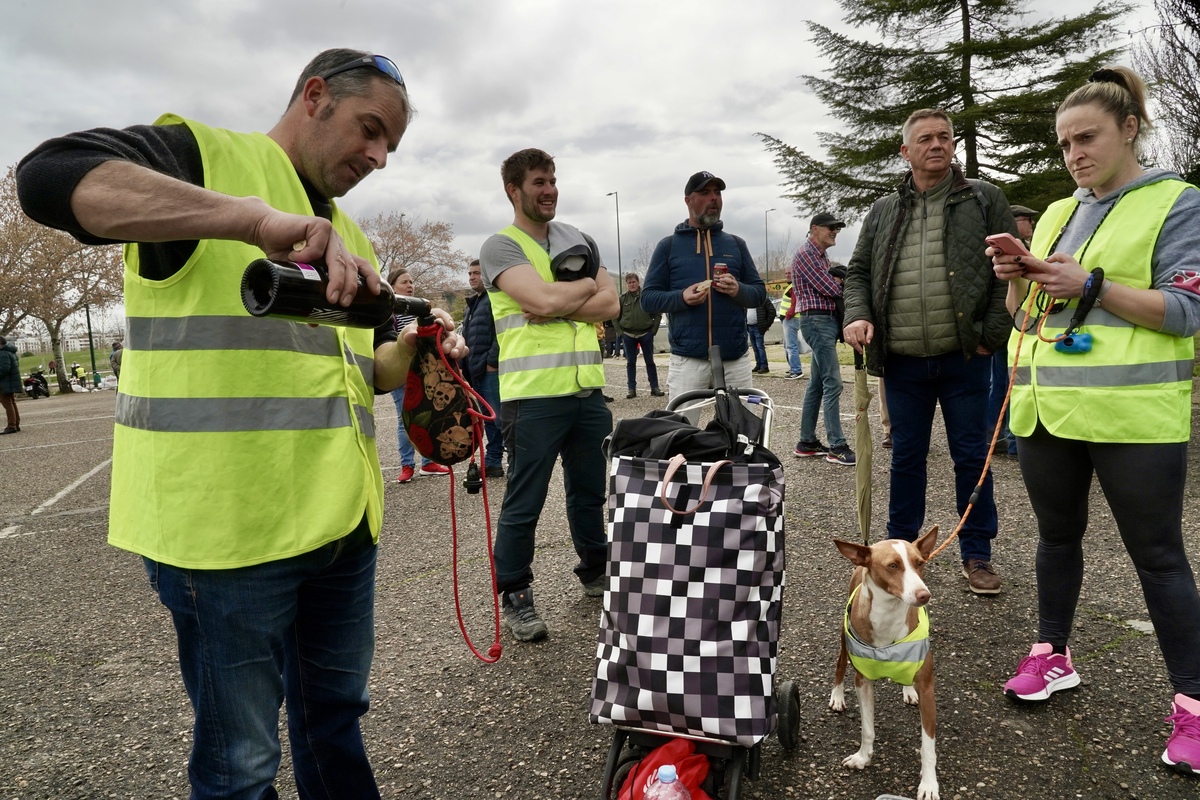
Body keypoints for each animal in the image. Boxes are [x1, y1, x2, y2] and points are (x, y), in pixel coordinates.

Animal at [830, 525, 940, 800]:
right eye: (892, 566)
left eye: (920, 563)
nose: (924, 595)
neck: (888, 617)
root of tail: (865, 547)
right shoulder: (862, 681)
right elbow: (867, 728)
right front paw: (862, 758)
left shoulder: (928, 688)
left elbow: (928, 745)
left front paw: (929, 784)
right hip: (844, 639)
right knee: (839, 664)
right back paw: (837, 696)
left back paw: (908, 690)